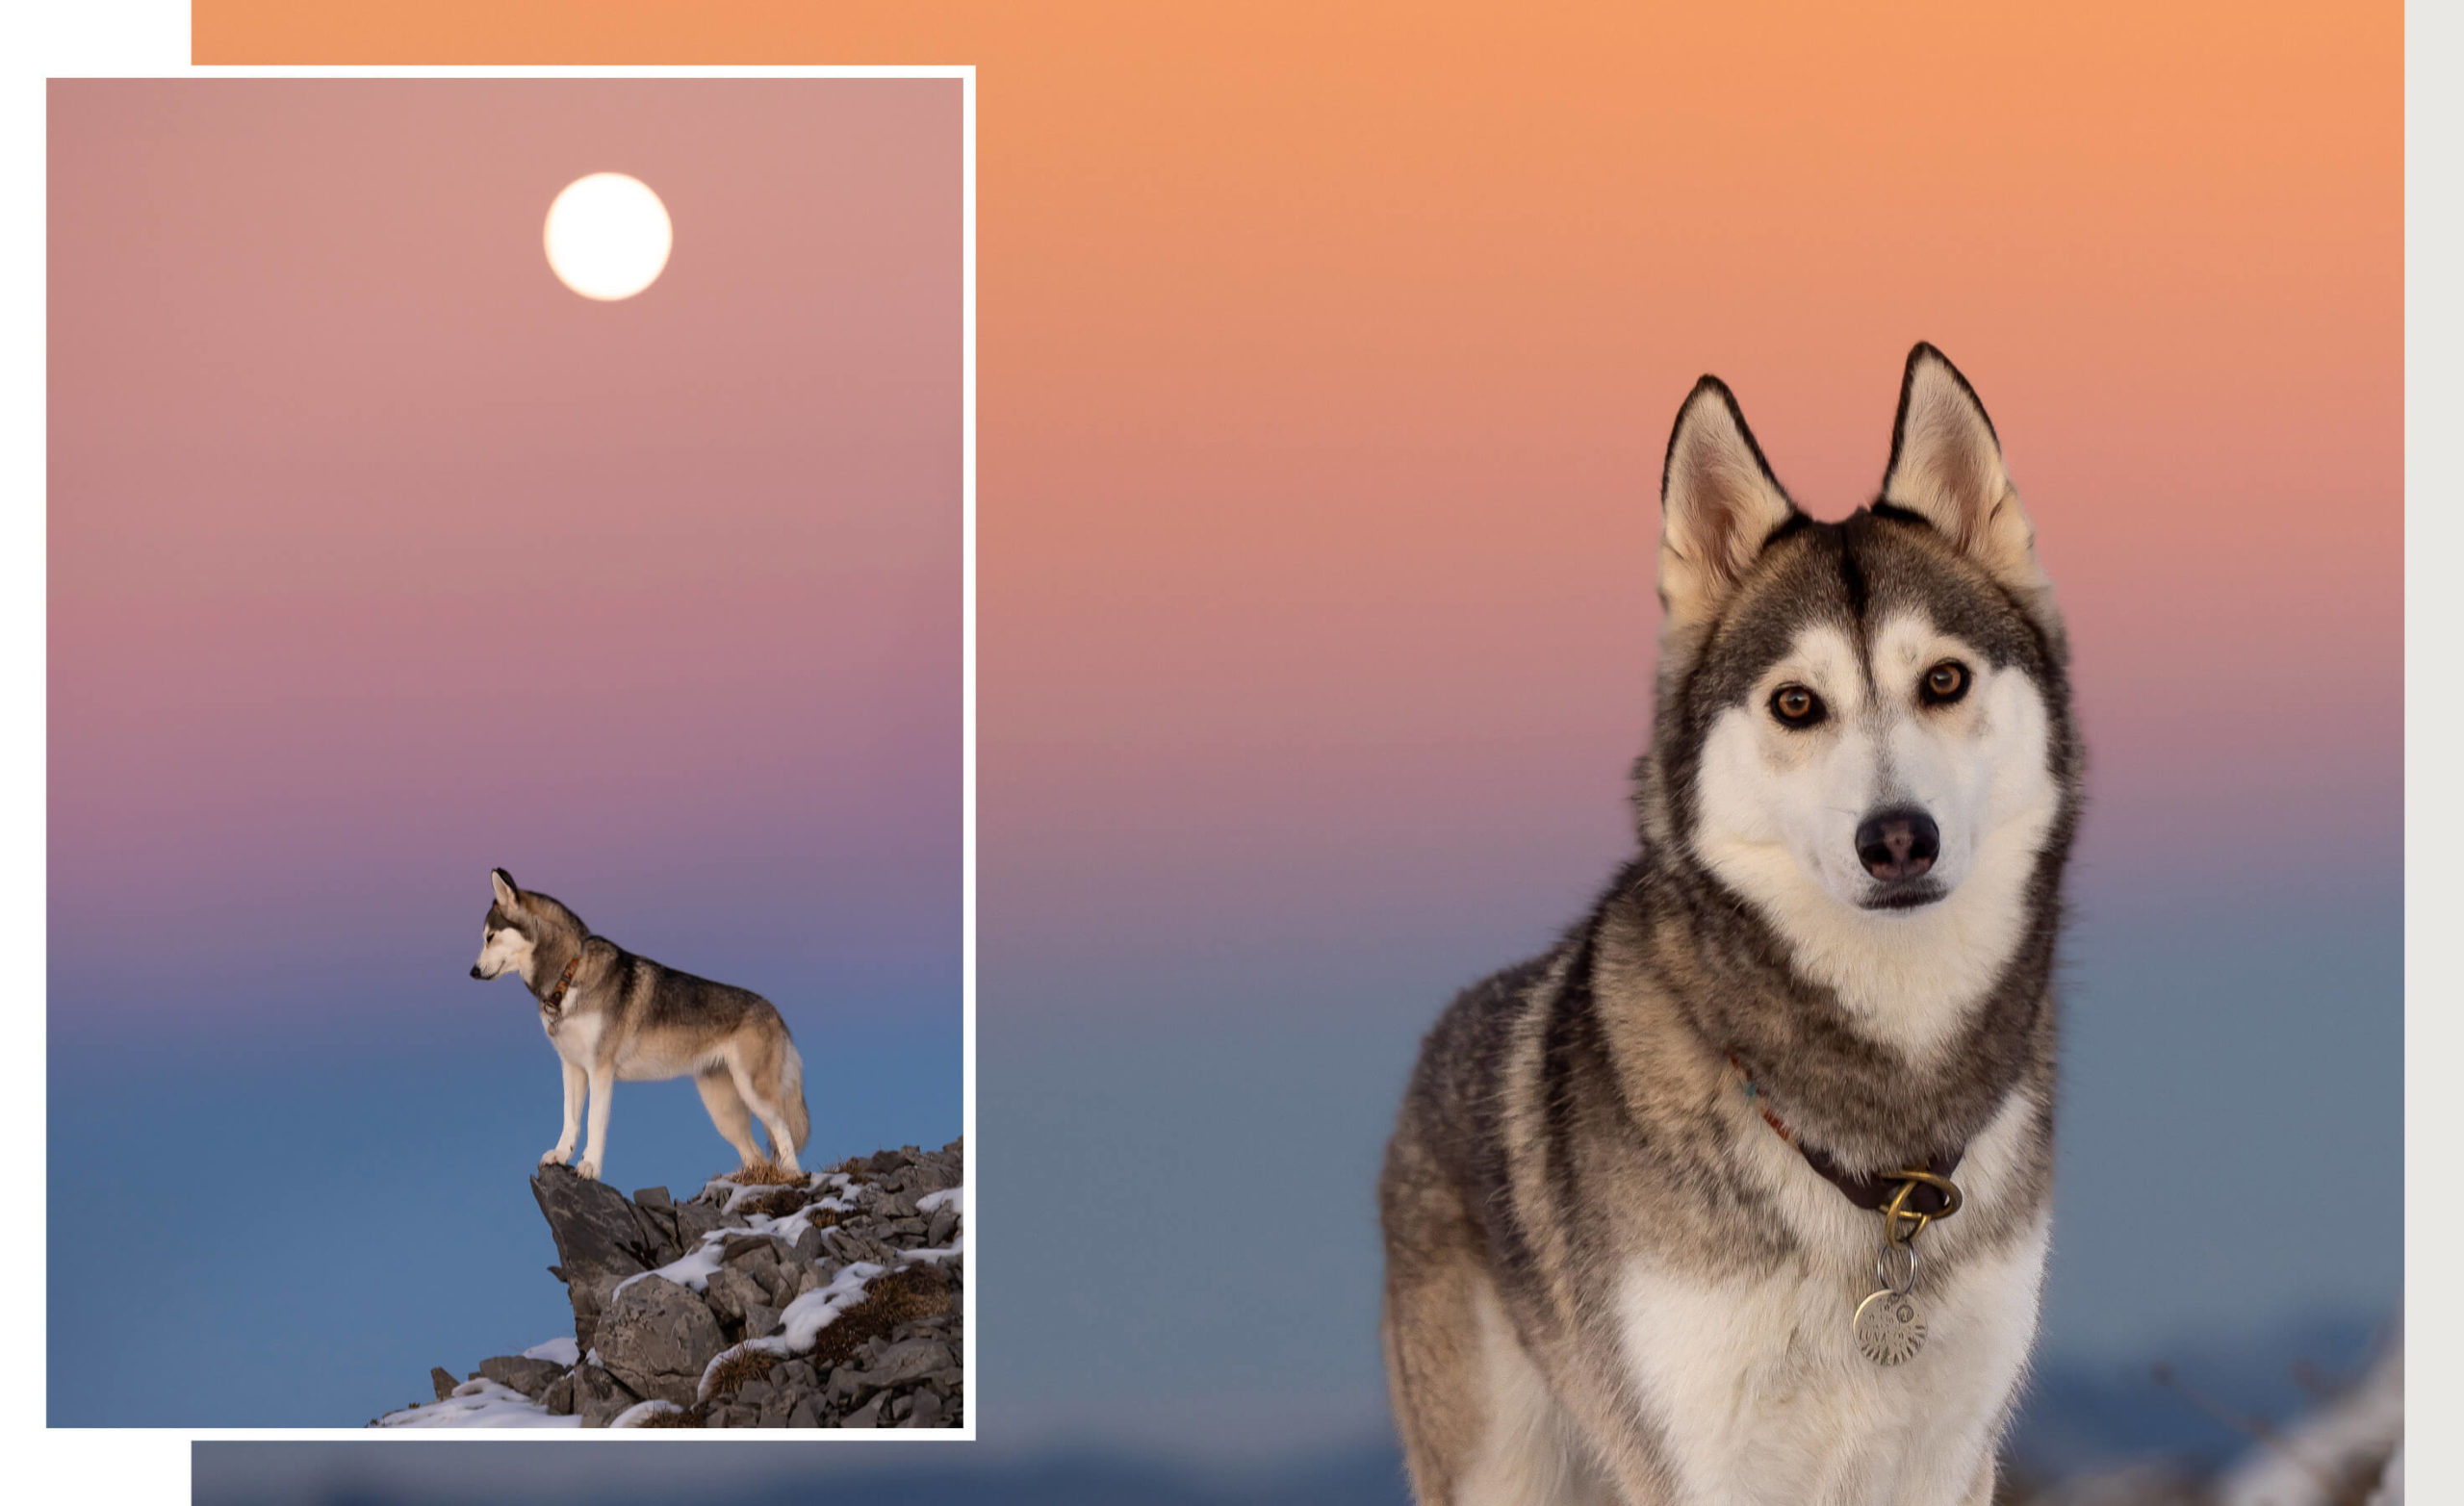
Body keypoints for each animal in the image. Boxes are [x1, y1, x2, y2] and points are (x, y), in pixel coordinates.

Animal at [463, 867, 808, 1183]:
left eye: (489, 937)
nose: (473, 972)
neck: (568, 975)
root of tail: (775, 1012)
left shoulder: (600, 1070)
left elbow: (594, 1123)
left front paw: (590, 1167)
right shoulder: (572, 1067)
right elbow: (570, 1119)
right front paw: (560, 1156)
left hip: (754, 1093)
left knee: (782, 1131)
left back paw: (793, 1174)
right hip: (722, 1111)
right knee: (756, 1155)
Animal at [1389, 347, 2079, 1498]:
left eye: (1943, 679)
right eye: (1796, 702)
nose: (1899, 839)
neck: (1874, 1141)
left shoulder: (1950, 1454)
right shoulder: (1700, 1457)